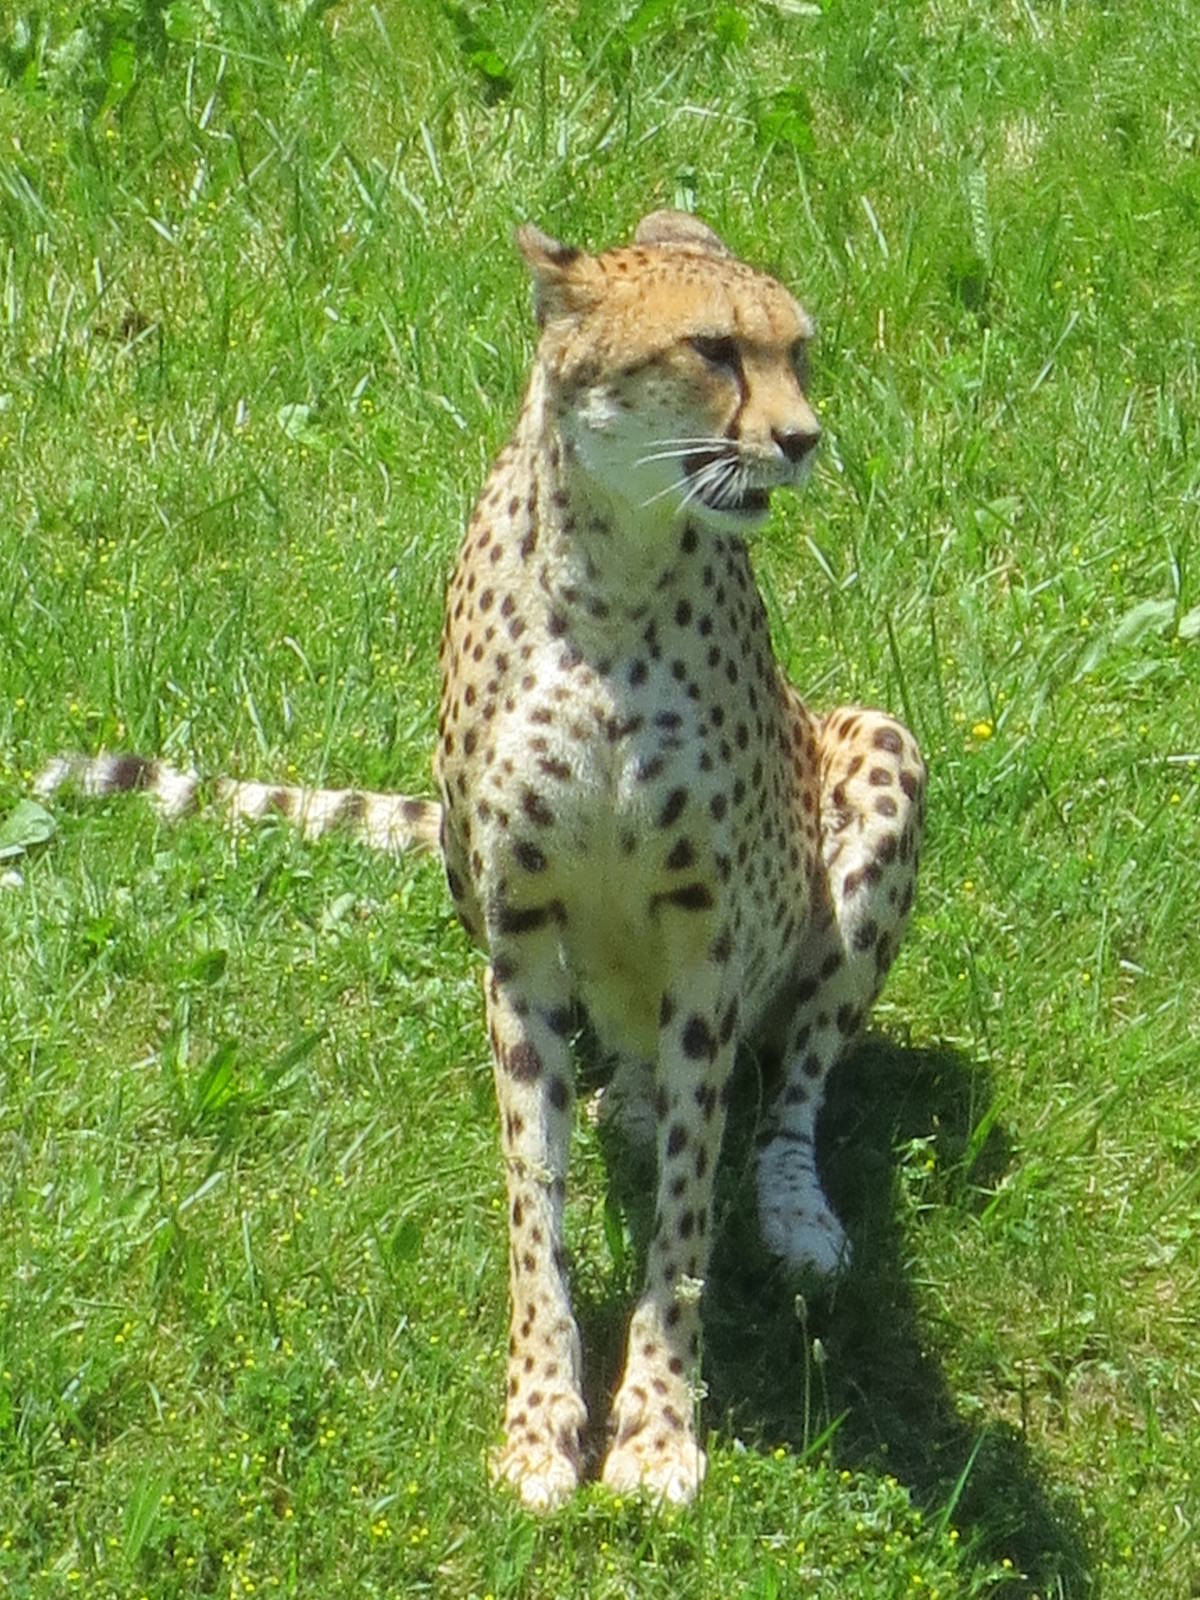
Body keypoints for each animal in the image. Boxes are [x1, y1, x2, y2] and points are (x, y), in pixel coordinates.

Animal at [36, 210, 926, 1510]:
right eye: (712, 349)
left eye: (798, 351)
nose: (803, 438)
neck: (610, 580)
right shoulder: (519, 944)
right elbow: (532, 1195)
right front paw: (542, 1420)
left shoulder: (709, 945)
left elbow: (687, 1211)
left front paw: (657, 1426)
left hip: (882, 754)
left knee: (794, 1085)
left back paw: (794, 1206)